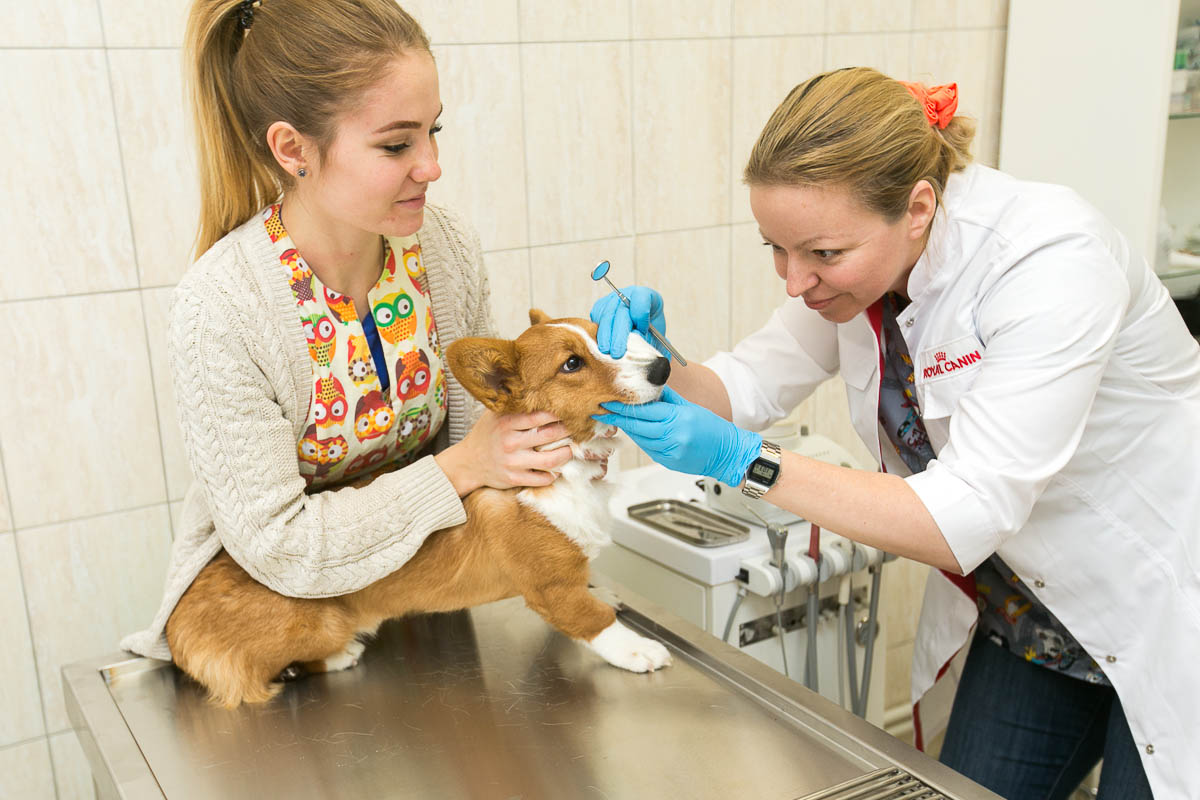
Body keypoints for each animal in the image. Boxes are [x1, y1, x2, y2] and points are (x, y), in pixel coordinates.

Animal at [166, 311, 676, 705]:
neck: (569, 465)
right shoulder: (551, 590)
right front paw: (638, 651)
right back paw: (335, 657)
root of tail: (175, 629)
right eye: (571, 363)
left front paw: (603, 589)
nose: (663, 367)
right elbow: (594, 620)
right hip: (323, 622)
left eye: (605, 335)